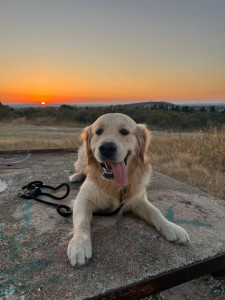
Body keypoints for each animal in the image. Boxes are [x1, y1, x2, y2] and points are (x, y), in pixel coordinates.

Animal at [67, 113, 190, 266]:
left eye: (124, 132)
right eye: (99, 131)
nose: (107, 148)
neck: (114, 185)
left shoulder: (136, 199)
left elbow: (155, 212)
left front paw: (171, 227)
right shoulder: (82, 199)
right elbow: (82, 221)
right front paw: (79, 245)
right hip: (83, 156)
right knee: (82, 168)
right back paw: (75, 176)